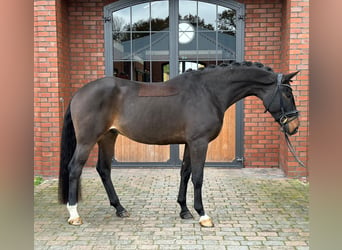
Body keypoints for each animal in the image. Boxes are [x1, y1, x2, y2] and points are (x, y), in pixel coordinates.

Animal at [58, 60, 300, 227]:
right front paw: (203, 215)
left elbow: (185, 173)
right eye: (288, 94)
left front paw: (184, 210)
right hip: (87, 140)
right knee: (74, 168)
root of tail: (79, 93)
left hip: (108, 137)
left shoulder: (189, 143)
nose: (294, 126)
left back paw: (120, 208)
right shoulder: (199, 143)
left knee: (104, 170)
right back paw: (75, 215)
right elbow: (198, 177)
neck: (208, 92)